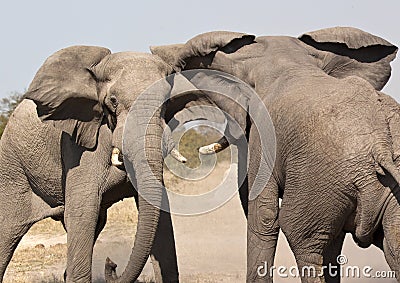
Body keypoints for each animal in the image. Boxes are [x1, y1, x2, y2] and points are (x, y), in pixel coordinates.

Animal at [0, 46, 196, 283]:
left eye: (167, 101)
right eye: (113, 101)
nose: (112, 263)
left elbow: (160, 215)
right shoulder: (77, 147)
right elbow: (83, 212)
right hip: (13, 166)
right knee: (8, 229)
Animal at [145, 27, 400, 283]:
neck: (291, 63)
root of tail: (380, 145)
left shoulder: (263, 136)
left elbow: (264, 216)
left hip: (319, 181)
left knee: (301, 238)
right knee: (390, 246)